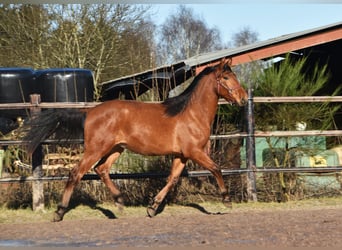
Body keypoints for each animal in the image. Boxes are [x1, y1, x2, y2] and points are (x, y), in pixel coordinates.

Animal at [24, 57, 248, 222]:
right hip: (95, 149)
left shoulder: (182, 155)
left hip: (116, 149)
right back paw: (59, 212)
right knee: (76, 173)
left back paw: (119, 202)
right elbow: (216, 168)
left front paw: (153, 207)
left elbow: (172, 179)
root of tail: (89, 112)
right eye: (226, 77)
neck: (191, 113)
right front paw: (227, 200)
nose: (244, 99)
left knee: (101, 169)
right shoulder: (195, 152)